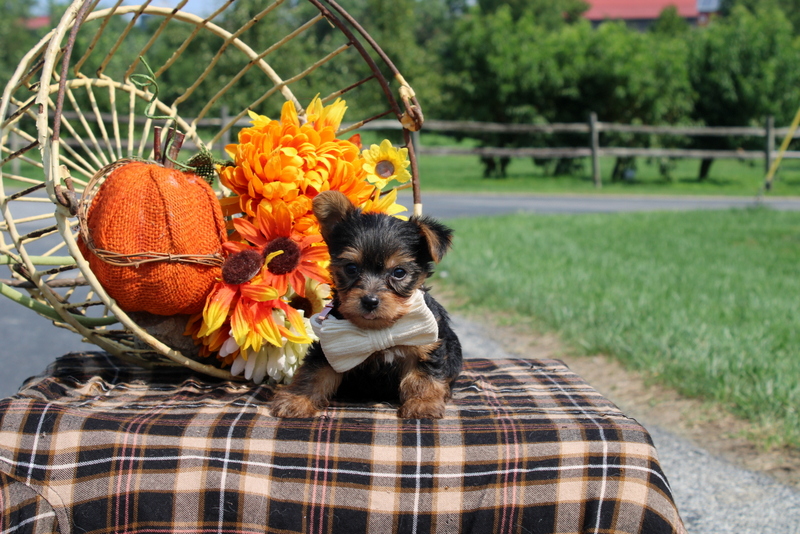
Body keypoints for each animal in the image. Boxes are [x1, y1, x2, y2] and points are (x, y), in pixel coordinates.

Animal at [272, 191, 462, 420]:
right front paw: (297, 399)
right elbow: (314, 372)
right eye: (351, 268)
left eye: (399, 272)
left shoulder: (427, 344)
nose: (370, 301)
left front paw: (423, 403)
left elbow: (424, 375)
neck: (379, 328)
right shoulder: (329, 349)